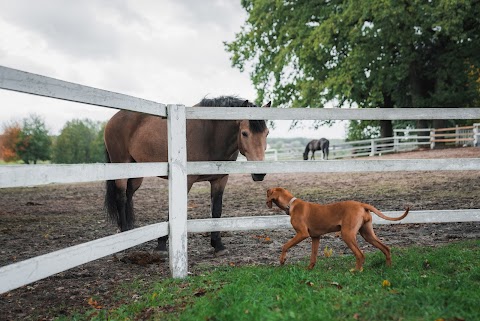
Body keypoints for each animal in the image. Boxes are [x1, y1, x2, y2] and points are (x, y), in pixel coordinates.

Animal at [104, 95, 270, 255]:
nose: (259, 173)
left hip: (137, 173)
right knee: (121, 197)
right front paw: (161, 245)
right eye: (244, 133)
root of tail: (112, 119)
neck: (210, 134)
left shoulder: (220, 179)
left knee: (129, 195)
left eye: (267, 133)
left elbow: (216, 210)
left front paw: (218, 245)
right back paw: (125, 235)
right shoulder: (186, 180)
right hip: (121, 166)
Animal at [266, 186, 408, 268]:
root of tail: (362, 205)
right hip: (367, 234)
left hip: (347, 234)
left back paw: (356, 271)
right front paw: (308, 270)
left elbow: (285, 246)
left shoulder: (302, 234)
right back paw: (388, 268)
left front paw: (282, 260)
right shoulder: (315, 237)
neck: (291, 204)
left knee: (360, 255)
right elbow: (313, 256)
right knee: (386, 249)